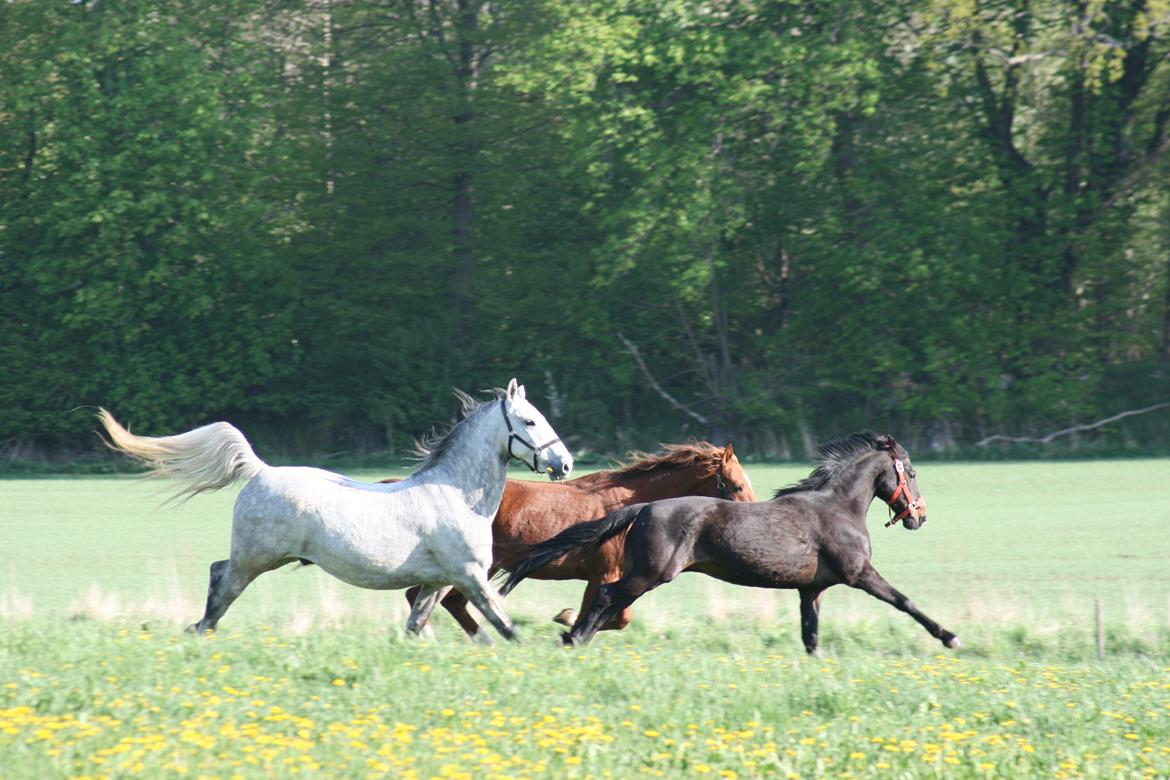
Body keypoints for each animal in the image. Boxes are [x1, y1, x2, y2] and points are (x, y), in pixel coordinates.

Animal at [98, 378, 573, 640]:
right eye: (529, 420)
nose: (565, 463)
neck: (455, 495)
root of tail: (260, 470)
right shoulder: (470, 576)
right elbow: (504, 625)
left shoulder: (438, 582)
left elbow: (416, 626)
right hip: (257, 557)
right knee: (223, 582)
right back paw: (202, 632)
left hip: (262, 556)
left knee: (218, 574)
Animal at [397, 442, 753, 645]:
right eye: (735, 486)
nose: (750, 519)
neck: (628, 507)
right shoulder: (604, 575)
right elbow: (614, 616)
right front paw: (567, 622)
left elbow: (614, 616)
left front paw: (568, 622)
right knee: (429, 597)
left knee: (442, 600)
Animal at [500, 432, 959, 654]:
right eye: (912, 472)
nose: (919, 516)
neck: (838, 508)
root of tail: (643, 507)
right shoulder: (859, 572)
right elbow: (905, 601)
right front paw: (949, 637)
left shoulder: (811, 589)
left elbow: (810, 636)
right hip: (649, 574)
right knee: (607, 597)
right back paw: (574, 638)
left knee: (606, 601)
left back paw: (572, 636)